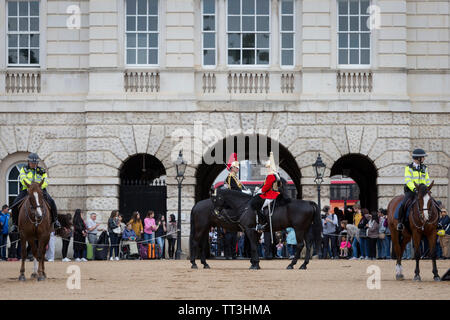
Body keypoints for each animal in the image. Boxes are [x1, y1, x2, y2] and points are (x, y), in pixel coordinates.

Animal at [190, 189, 324, 268]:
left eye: (217, 198)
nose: (216, 212)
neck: (245, 206)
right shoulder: (254, 230)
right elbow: (254, 245)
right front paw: (255, 263)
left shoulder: (250, 229)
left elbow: (254, 246)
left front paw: (255, 264)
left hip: (299, 229)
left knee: (301, 245)